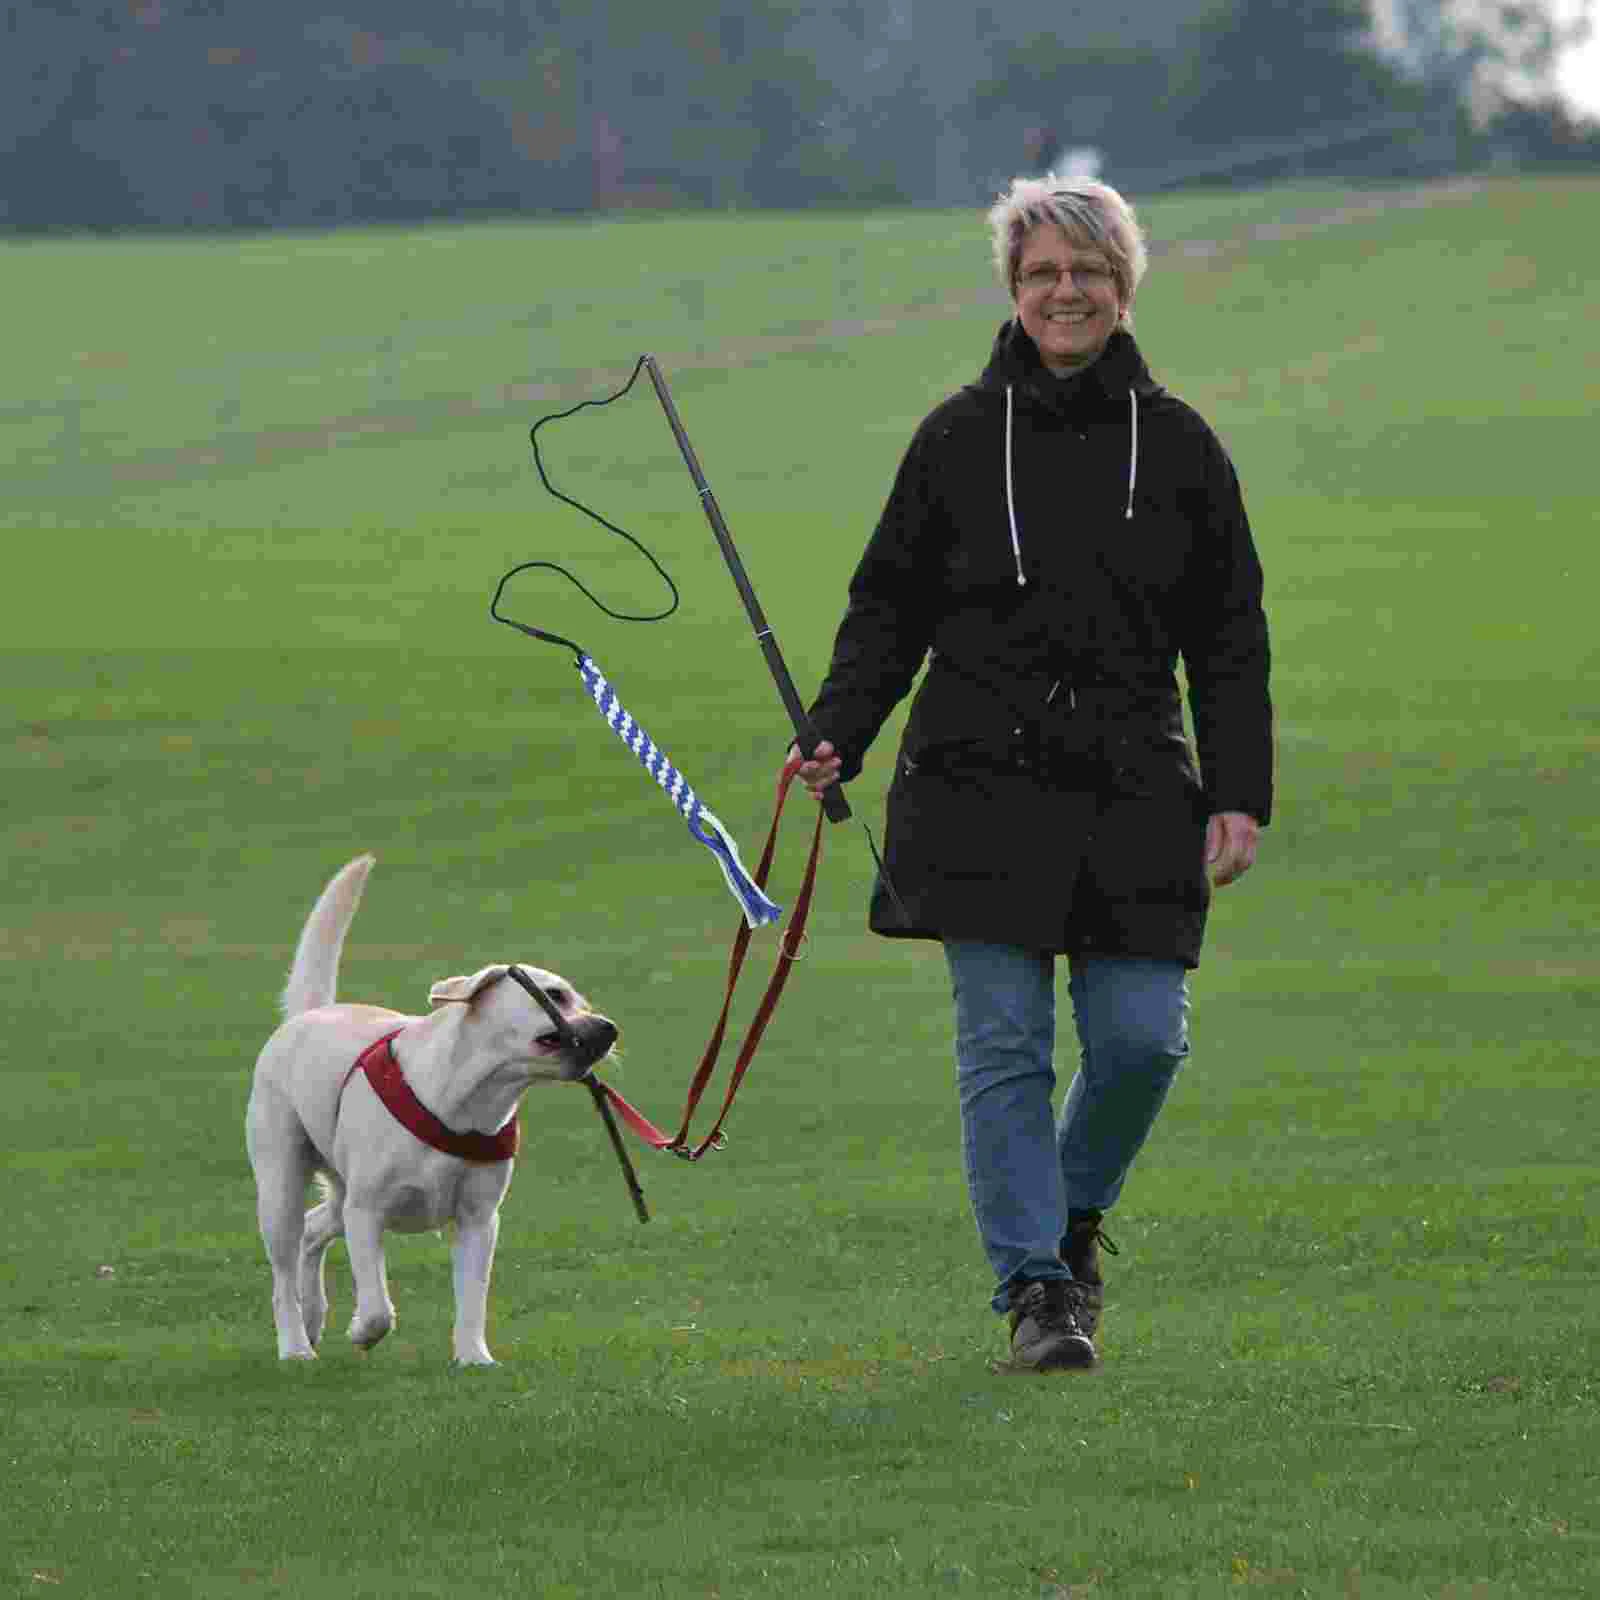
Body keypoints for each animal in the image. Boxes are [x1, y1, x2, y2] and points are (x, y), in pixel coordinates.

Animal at [244, 857, 617, 1369]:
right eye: (556, 994)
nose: (611, 1028)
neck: (466, 1101)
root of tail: (307, 1015)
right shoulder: (367, 1211)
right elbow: (378, 1306)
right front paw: (362, 1331)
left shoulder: (479, 1220)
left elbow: (473, 1298)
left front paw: (474, 1358)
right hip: (282, 1185)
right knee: (284, 1269)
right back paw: (296, 1345)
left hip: (338, 1195)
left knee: (314, 1231)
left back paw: (315, 1316)